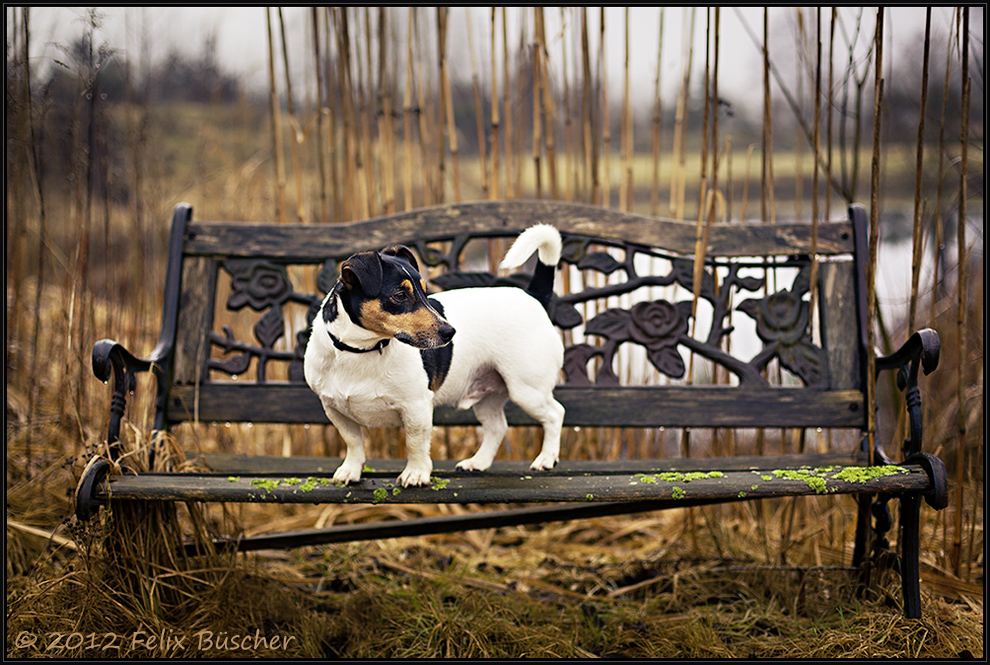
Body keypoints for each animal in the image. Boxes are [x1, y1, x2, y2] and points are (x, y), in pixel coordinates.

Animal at [302, 226, 564, 486]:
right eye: (400, 295)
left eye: (425, 293)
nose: (451, 332)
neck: (362, 350)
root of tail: (533, 297)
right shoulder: (335, 410)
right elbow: (353, 441)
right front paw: (351, 470)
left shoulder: (416, 407)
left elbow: (415, 442)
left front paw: (416, 473)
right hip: (488, 394)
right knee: (497, 427)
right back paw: (477, 463)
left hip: (527, 390)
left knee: (555, 414)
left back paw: (546, 459)